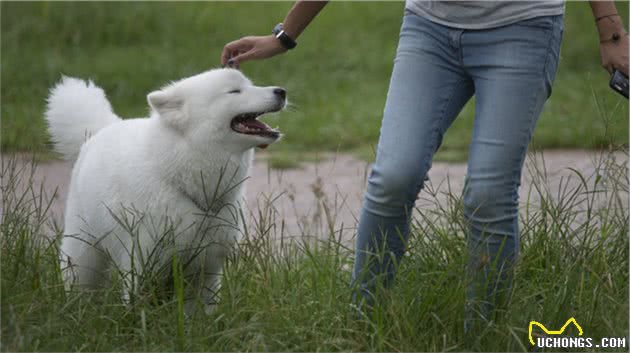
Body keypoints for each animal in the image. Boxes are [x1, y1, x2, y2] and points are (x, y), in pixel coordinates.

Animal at [47, 69, 286, 314]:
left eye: (249, 84)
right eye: (234, 91)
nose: (281, 91)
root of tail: (104, 129)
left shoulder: (206, 270)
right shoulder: (142, 263)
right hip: (84, 250)